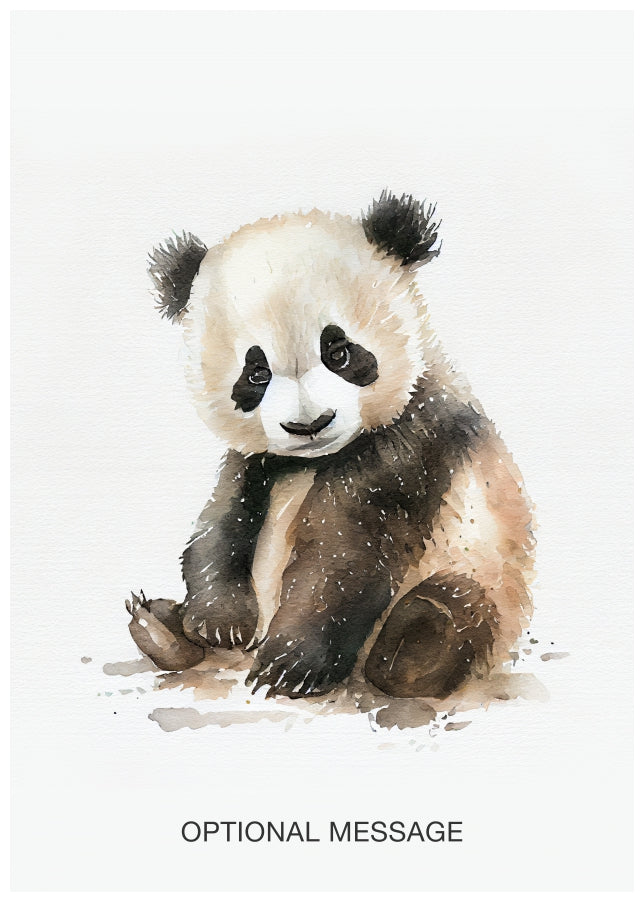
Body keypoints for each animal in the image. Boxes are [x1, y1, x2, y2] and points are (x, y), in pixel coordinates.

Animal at [126, 190, 535, 700]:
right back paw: (160, 627)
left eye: (339, 352)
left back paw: (412, 648)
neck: (315, 460)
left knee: (458, 604)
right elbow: (220, 520)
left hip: (486, 566)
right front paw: (218, 621)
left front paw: (290, 664)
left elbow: (345, 549)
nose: (309, 424)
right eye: (255, 373)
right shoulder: (254, 460)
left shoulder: (412, 438)